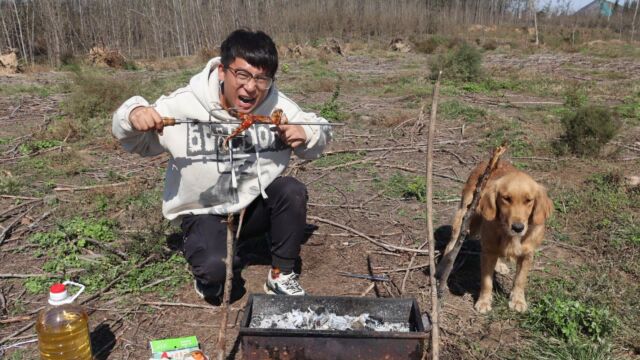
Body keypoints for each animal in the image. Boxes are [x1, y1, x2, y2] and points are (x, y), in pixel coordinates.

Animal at [442, 162, 552, 314]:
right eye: (506, 198)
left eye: (528, 200)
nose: (518, 227)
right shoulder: (488, 253)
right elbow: (487, 282)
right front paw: (484, 301)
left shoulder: (527, 255)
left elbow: (520, 280)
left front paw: (518, 300)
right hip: (466, 220)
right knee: (451, 244)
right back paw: (444, 268)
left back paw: (499, 265)